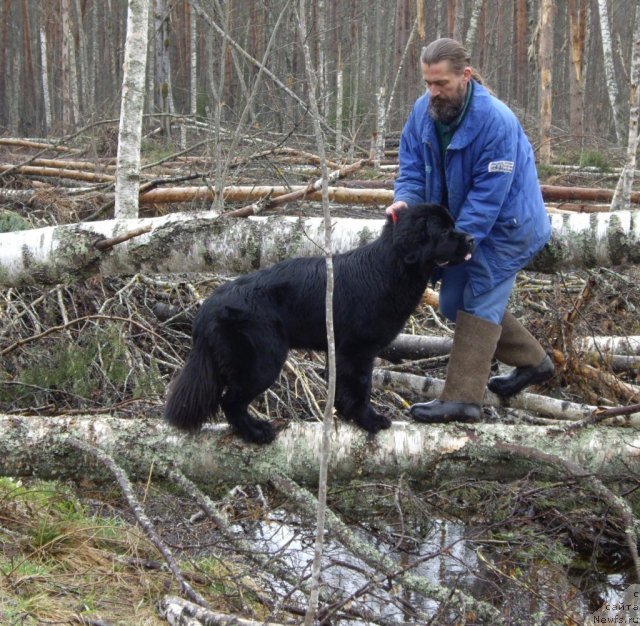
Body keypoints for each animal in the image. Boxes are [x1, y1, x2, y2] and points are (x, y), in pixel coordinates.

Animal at [165, 202, 476, 442]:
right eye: (444, 231)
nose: (472, 239)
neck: (390, 269)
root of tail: (206, 307)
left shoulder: (342, 351)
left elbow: (342, 387)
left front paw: (347, 416)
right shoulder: (359, 351)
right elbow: (361, 387)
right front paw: (369, 420)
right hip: (263, 360)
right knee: (230, 401)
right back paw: (256, 432)